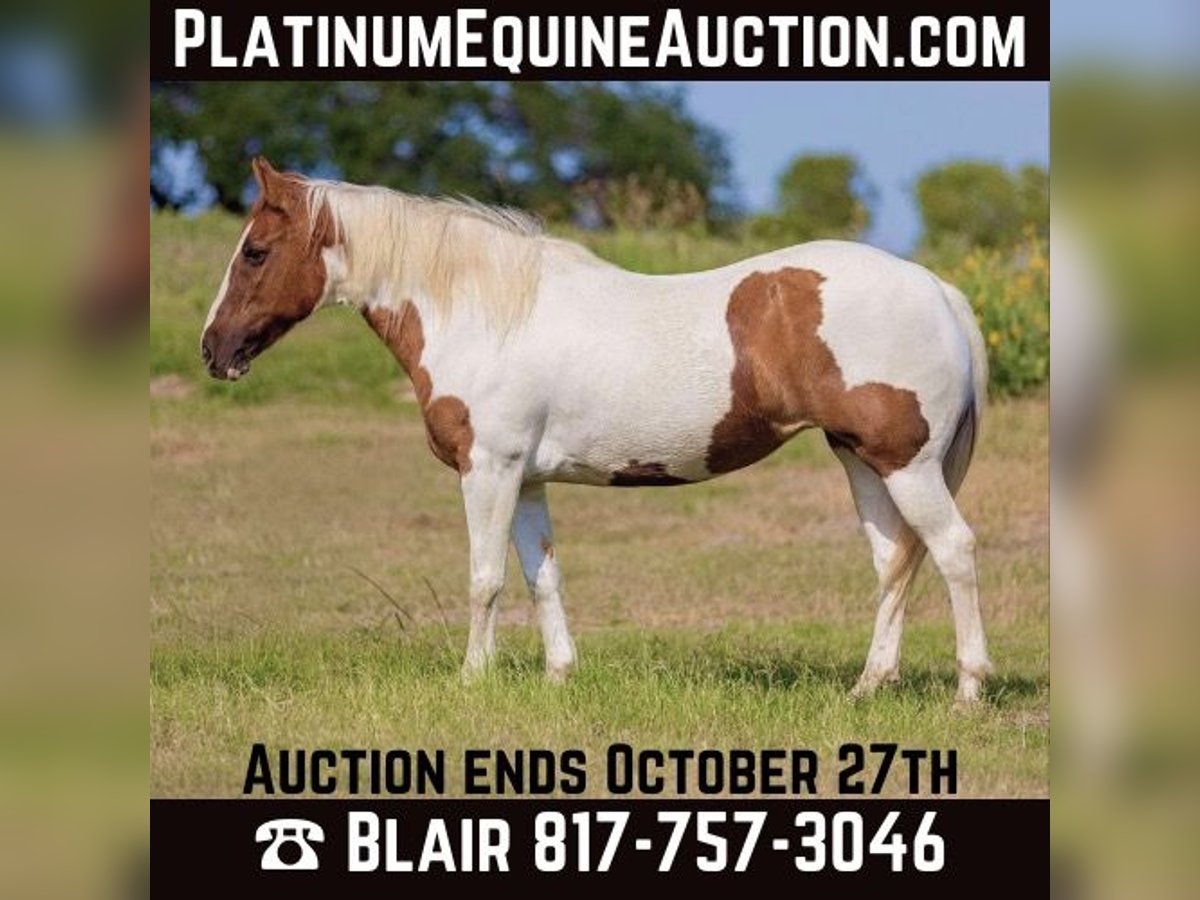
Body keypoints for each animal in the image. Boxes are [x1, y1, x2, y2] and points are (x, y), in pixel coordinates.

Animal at [201, 157, 992, 703]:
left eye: (255, 252)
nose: (213, 350)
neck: (487, 312)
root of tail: (937, 288)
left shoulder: (488, 469)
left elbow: (485, 579)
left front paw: (472, 680)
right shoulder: (524, 480)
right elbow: (540, 574)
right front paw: (559, 676)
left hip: (907, 465)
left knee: (952, 551)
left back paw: (969, 689)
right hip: (863, 462)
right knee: (894, 561)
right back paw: (868, 686)